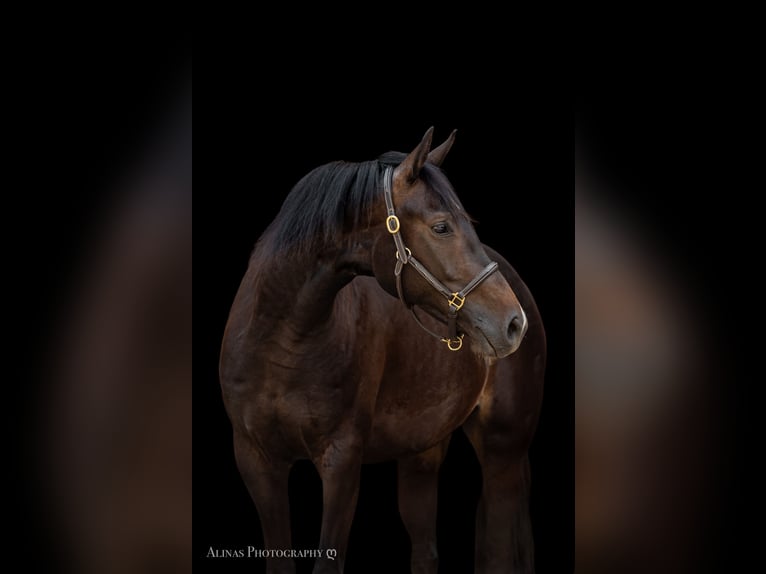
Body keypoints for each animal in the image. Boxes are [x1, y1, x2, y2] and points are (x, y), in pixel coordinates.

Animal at [219, 128, 546, 574]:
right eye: (442, 227)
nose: (513, 323)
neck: (282, 344)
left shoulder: (341, 462)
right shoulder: (256, 461)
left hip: (503, 450)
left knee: (498, 550)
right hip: (422, 452)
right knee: (426, 550)